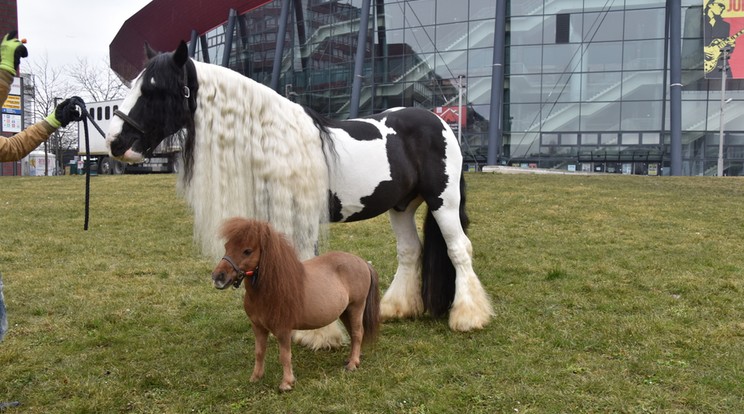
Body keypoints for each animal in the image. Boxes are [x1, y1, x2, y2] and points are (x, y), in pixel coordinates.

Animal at [106, 42, 494, 348]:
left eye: (155, 89)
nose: (115, 142)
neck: (272, 138)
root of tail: (440, 122)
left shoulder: (301, 215)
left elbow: (307, 265)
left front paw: (319, 335)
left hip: (444, 201)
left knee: (459, 249)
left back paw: (468, 316)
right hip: (400, 206)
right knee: (410, 251)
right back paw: (396, 308)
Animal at [212, 217, 380, 392]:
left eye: (247, 251)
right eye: (226, 247)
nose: (217, 277)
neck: (270, 290)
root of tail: (363, 262)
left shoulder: (283, 330)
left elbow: (285, 356)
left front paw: (286, 383)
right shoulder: (258, 327)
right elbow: (259, 352)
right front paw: (256, 377)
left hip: (356, 307)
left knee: (357, 333)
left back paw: (353, 364)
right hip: (345, 311)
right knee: (354, 334)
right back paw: (352, 359)